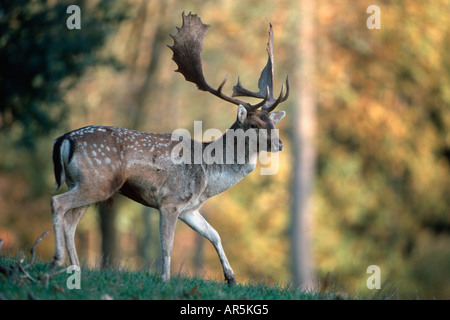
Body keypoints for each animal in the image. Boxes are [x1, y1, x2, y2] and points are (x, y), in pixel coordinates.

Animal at [49, 11, 288, 284]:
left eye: (272, 123)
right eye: (254, 124)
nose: (280, 144)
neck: (208, 175)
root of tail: (64, 139)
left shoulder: (190, 208)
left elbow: (214, 234)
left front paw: (230, 278)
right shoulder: (170, 200)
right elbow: (167, 245)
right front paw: (165, 279)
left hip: (85, 184)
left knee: (70, 221)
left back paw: (75, 270)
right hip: (98, 182)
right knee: (57, 203)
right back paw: (57, 260)